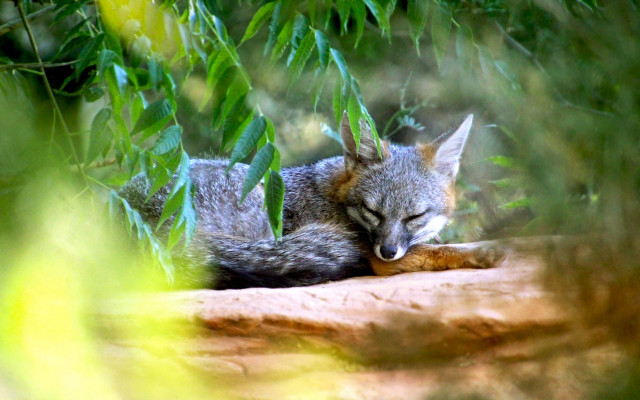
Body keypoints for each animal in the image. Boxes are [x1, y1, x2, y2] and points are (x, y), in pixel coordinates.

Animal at [119, 112, 503, 289]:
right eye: (373, 212)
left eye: (415, 216)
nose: (388, 250)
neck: (335, 198)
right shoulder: (370, 252)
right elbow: (432, 252)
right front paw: (476, 253)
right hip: (257, 194)